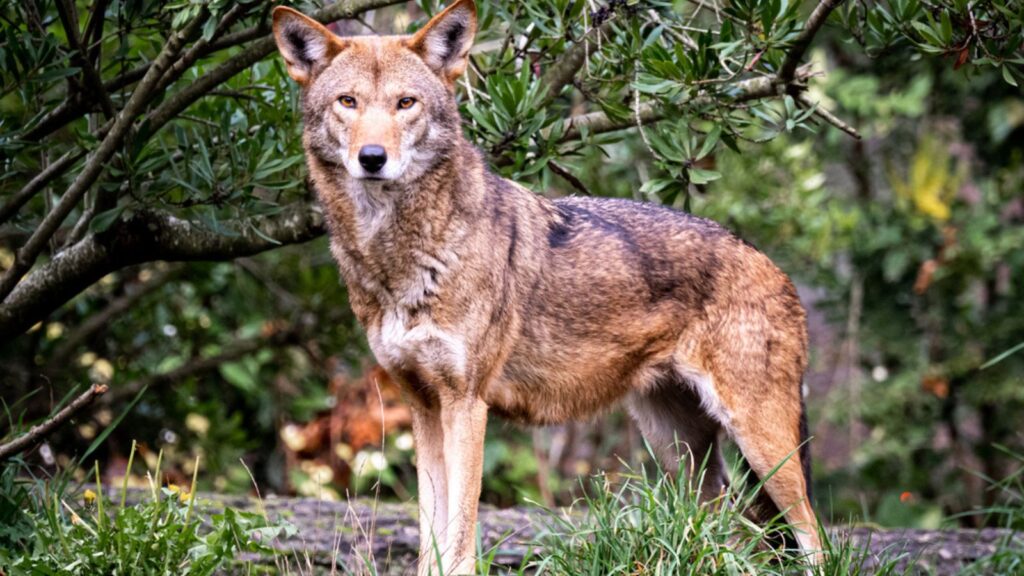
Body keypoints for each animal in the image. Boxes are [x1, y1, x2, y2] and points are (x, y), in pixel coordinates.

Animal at [272, 1, 821, 573]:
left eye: (406, 103)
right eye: (348, 102)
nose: (373, 158)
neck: (399, 258)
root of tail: (770, 263)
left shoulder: (466, 404)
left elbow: (460, 537)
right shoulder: (423, 406)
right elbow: (430, 541)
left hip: (759, 440)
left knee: (811, 532)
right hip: (679, 451)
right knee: (728, 529)